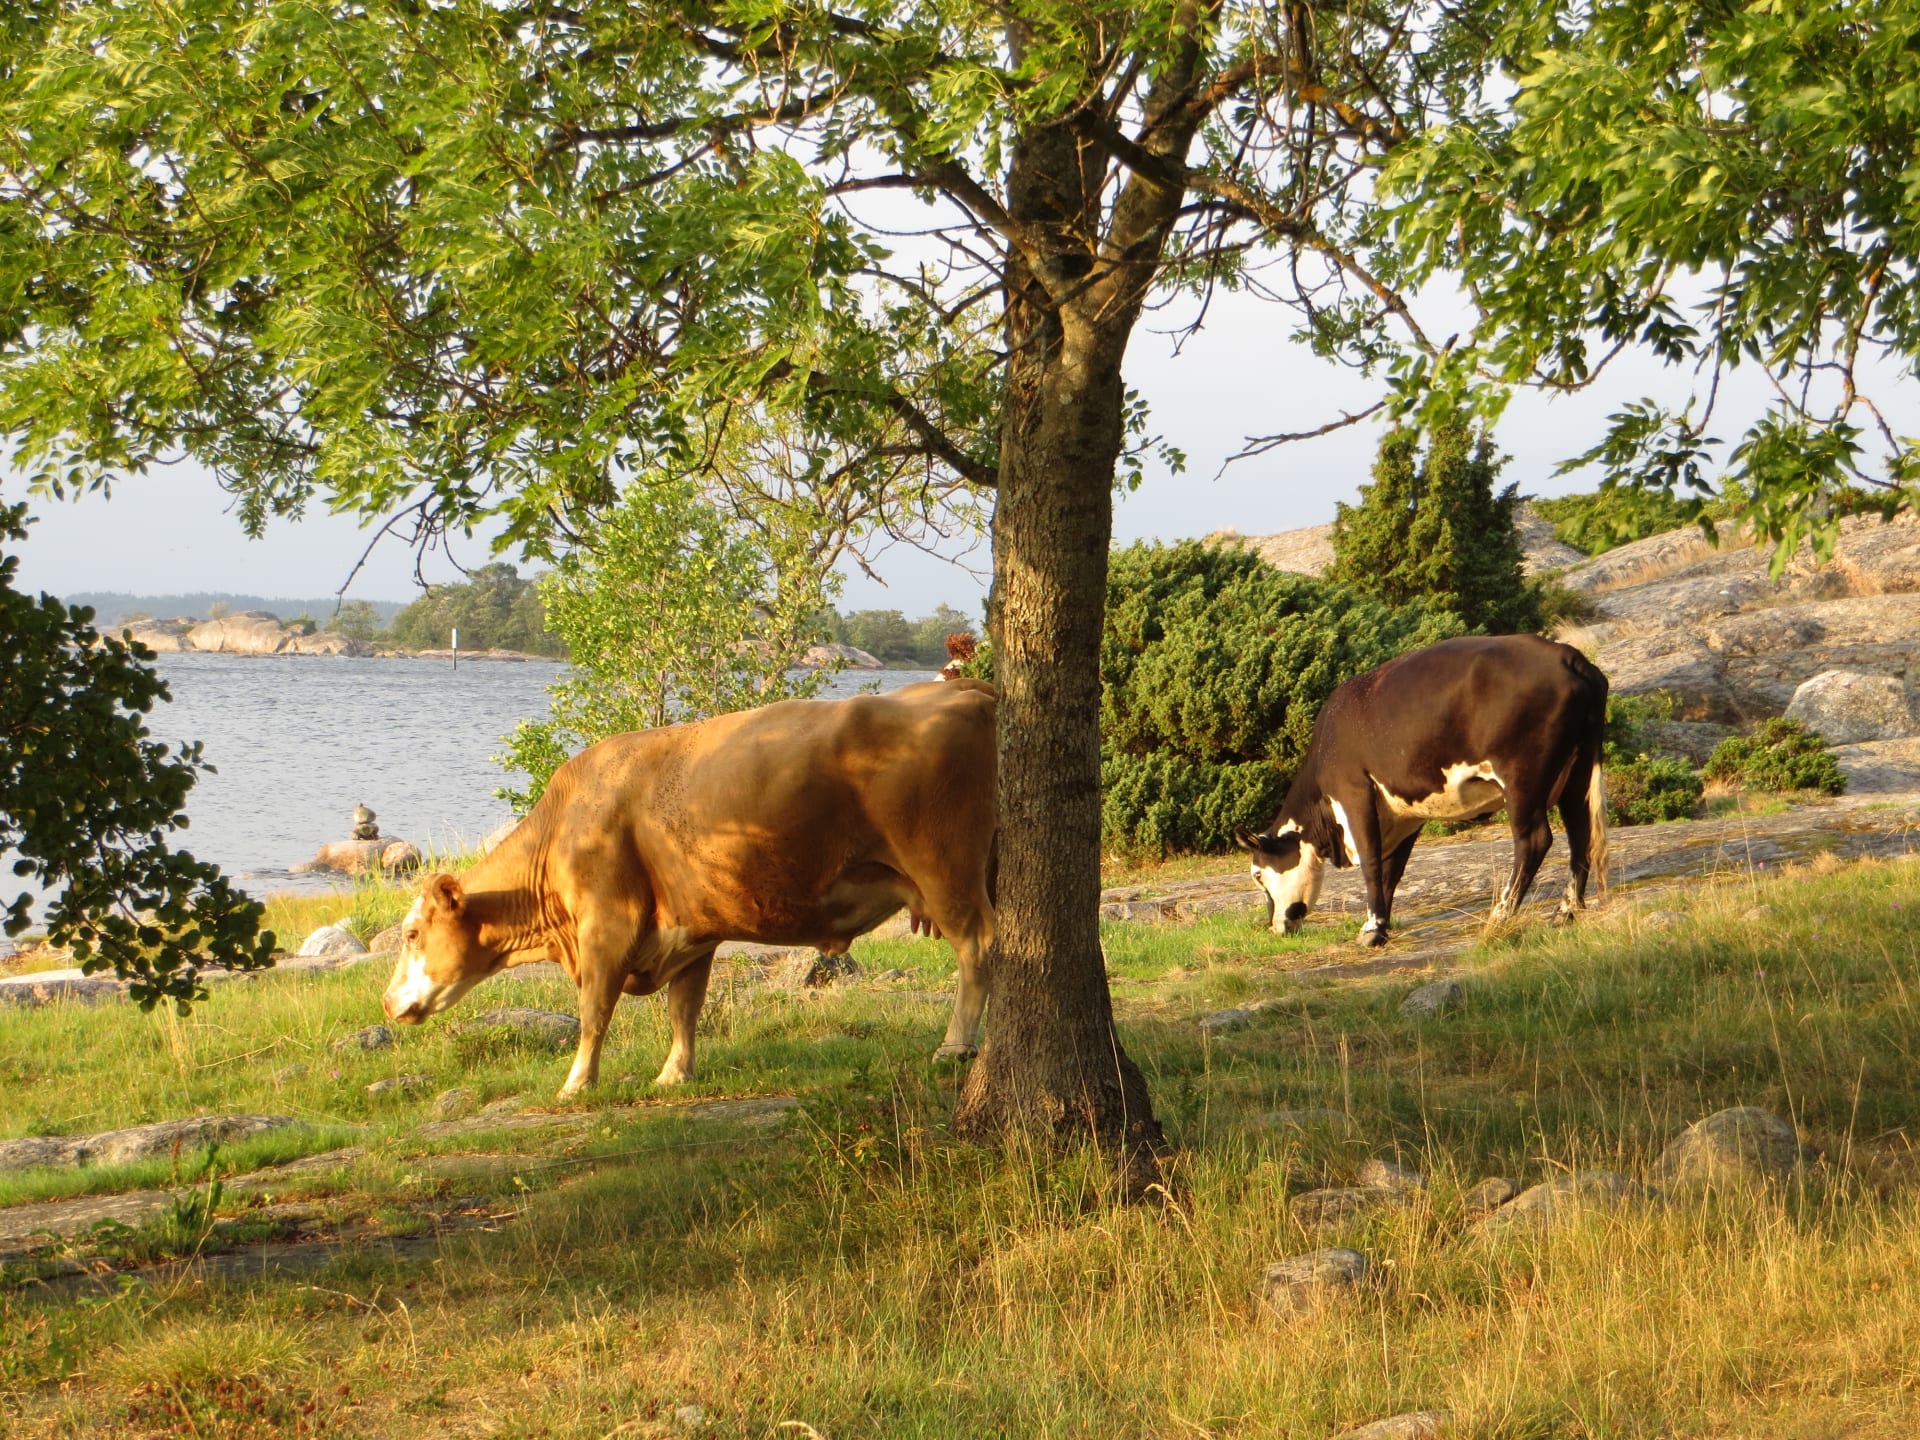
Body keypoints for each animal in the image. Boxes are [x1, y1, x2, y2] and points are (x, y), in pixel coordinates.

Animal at [380, 683, 998, 1098]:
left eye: (411, 933)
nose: (386, 1003)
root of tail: (961, 687)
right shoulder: (693, 931)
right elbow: (684, 1008)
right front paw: (675, 1074)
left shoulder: (606, 927)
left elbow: (593, 1011)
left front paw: (577, 1084)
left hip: (945, 871)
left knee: (977, 947)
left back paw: (954, 1046)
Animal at [1228, 641, 1605, 948]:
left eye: (1258, 874)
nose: (1274, 926)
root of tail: (1567, 656)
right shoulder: (1404, 815)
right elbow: (1391, 870)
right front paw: (1383, 925)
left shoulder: (1355, 792)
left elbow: (1371, 863)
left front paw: (1372, 930)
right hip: (1576, 773)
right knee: (1581, 834)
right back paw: (1565, 912)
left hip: (1522, 778)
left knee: (1534, 840)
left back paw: (1500, 914)